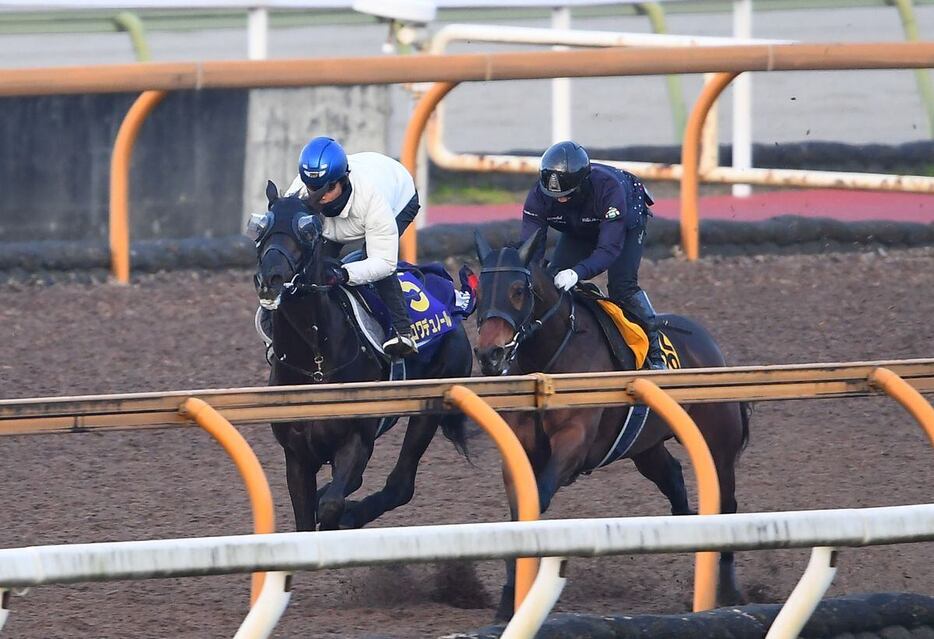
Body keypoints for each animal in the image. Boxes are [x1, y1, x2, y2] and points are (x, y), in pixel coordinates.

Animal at [252, 182, 472, 532]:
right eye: (260, 229)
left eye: (308, 231)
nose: (269, 280)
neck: (317, 364)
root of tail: (455, 303)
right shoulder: (297, 455)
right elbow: (305, 517)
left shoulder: (355, 442)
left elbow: (330, 505)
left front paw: (337, 516)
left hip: (430, 407)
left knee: (400, 484)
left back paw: (354, 514)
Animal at [476, 230, 752, 620]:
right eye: (479, 290)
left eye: (517, 290)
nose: (490, 354)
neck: (548, 363)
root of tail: (714, 350)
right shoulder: (520, 449)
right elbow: (518, 511)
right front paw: (508, 598)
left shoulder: (573, 443)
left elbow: (539, 496)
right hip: (645, 446)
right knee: (672, 475)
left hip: (718, 448)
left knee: (727, 504)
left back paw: (728, 589)